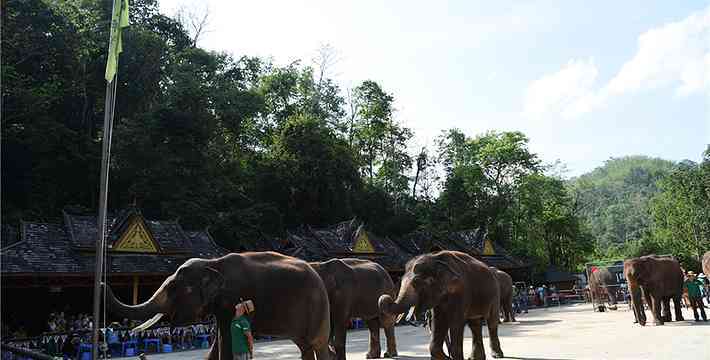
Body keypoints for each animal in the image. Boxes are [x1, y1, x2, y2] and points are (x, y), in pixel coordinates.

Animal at [105, 252, 334, 360]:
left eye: (173, 287)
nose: (103, 283)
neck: (213, 263)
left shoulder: (231, 299)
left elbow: (226, 340)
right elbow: (219, 340)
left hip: (318, 308)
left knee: (318, 344)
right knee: (306, 346)